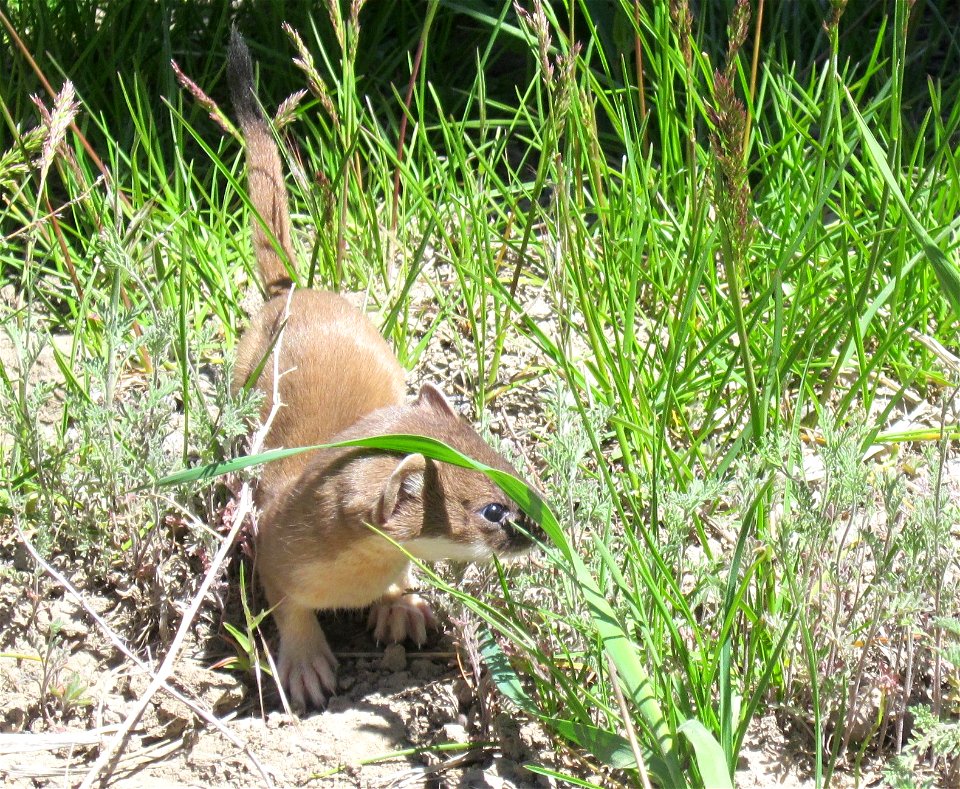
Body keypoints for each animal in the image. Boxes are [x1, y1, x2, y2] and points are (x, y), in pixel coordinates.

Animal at [228, 29, 536, 708]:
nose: (548, 526)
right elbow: (287, 605)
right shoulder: (273, 550)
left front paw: (403, 609)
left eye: (509, 464)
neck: (352, 578)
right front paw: (306, 665)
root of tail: (292, 291)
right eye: (492, 510)